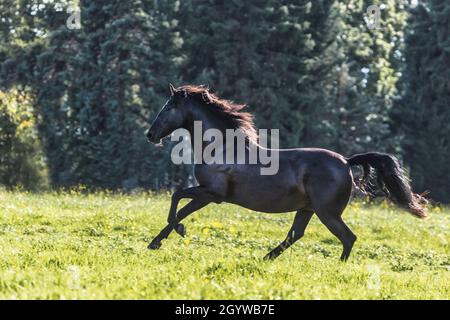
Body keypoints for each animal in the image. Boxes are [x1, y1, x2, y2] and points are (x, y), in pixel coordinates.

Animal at [147, 84, 426, 260]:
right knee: (297, 234)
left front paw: (168, 236)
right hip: (308, 209)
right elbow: (179, 204)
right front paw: (158, 241)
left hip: (327, 212)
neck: (221, 147)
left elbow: (178, 204)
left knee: (348, 238)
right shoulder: (208, 194)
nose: (150, 134)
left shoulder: (212, 194)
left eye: (168, 107)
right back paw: (266, 257)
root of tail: (347, 162)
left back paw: (337, 266)